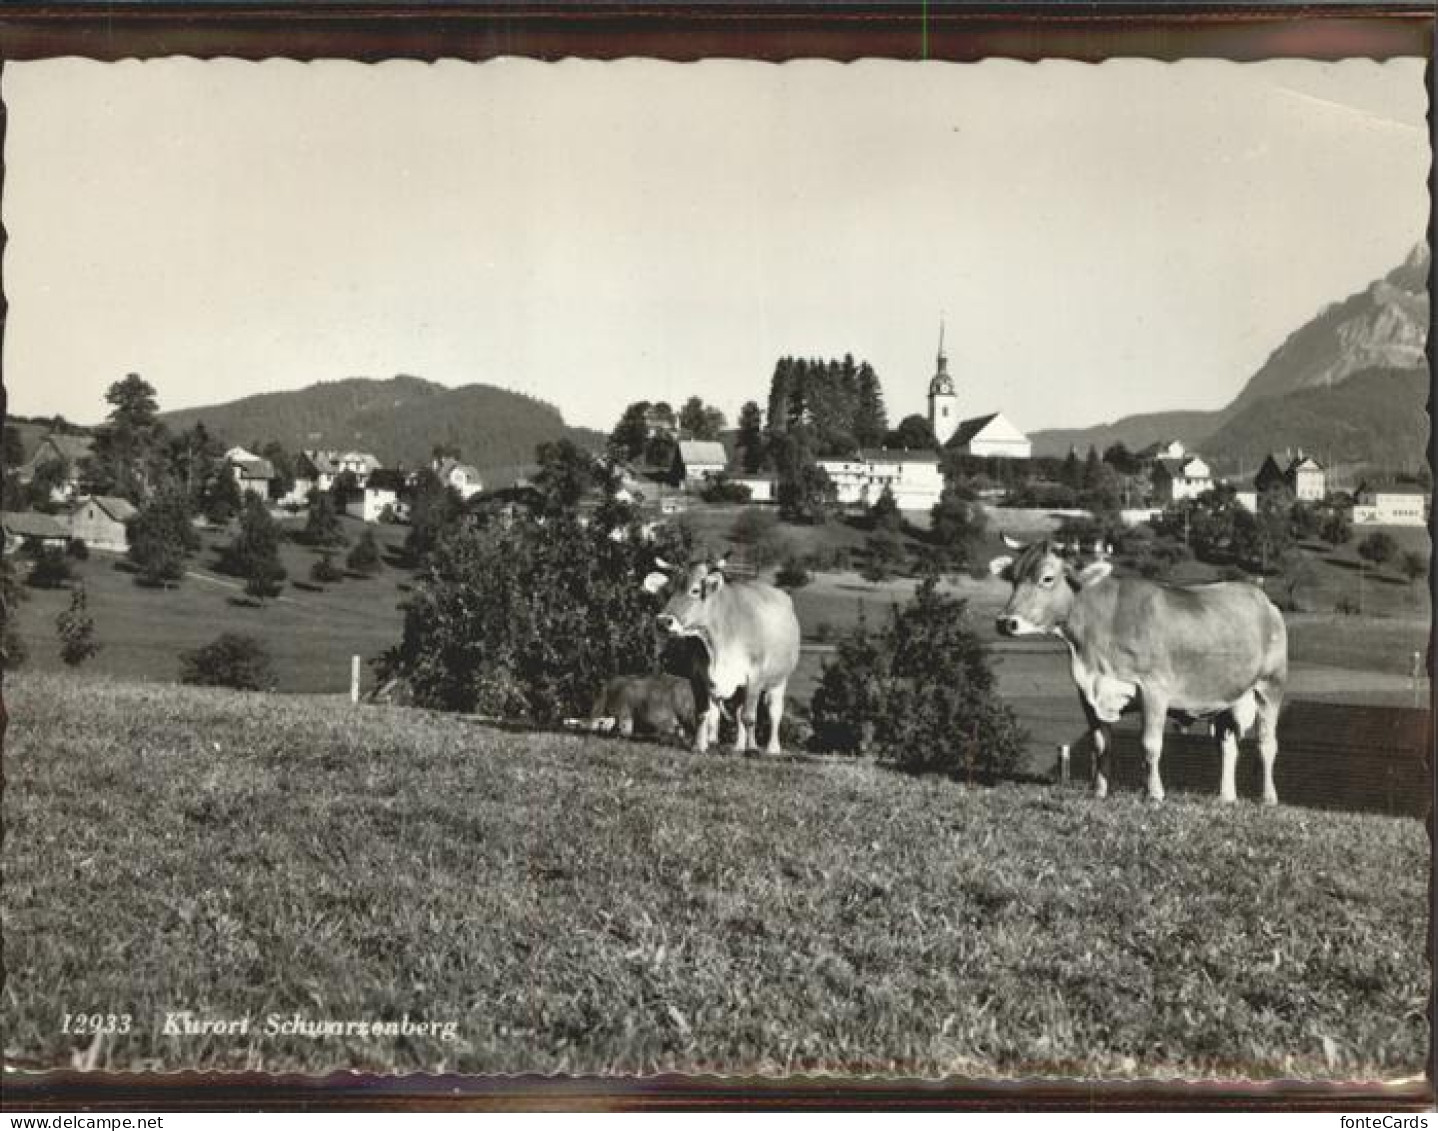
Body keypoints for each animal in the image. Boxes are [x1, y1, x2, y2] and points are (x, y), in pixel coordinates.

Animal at [647, 554, 805, 758]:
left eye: (695, 590)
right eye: (666, 591)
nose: (663, 622)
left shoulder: (755, 675)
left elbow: (750, 717)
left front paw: (753, 749)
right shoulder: (697, 677)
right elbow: (702, 713)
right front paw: (698, 746)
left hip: (779, 680)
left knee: (774, 711)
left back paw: (772, 748)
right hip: (739, 688)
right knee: (737, 711)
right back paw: (738, 747)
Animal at [995, 540, 1288, 804]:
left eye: (1047, 578)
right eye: (1013, 578)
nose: (1005, 622)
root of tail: (1263, 599)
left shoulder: (1154, 690)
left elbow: (1150, 744)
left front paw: (1154, 793)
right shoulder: (1088, 694)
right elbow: (1100, 745)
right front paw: (1099, 791)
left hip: (1270, 685)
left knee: (1266, 744)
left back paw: (1268, 798)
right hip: (1224, 697)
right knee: (1227, 747)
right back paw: (1226, 798)